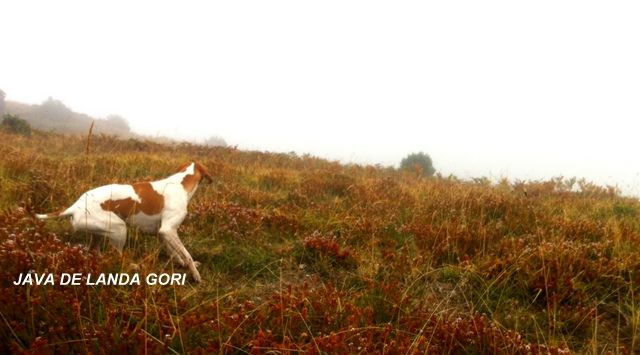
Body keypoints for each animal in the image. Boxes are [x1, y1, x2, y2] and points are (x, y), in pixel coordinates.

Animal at [36, 163, 211, 284]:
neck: (180, 183)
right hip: (120, 229)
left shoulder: (163, 233)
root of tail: (74, 206)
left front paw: (183, 264)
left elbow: (175, 253)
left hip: (99, 234)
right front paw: (195, 274)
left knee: (96, 253)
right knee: (116, 258)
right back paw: (132, 267)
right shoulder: (168, 231)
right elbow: (186, 254)